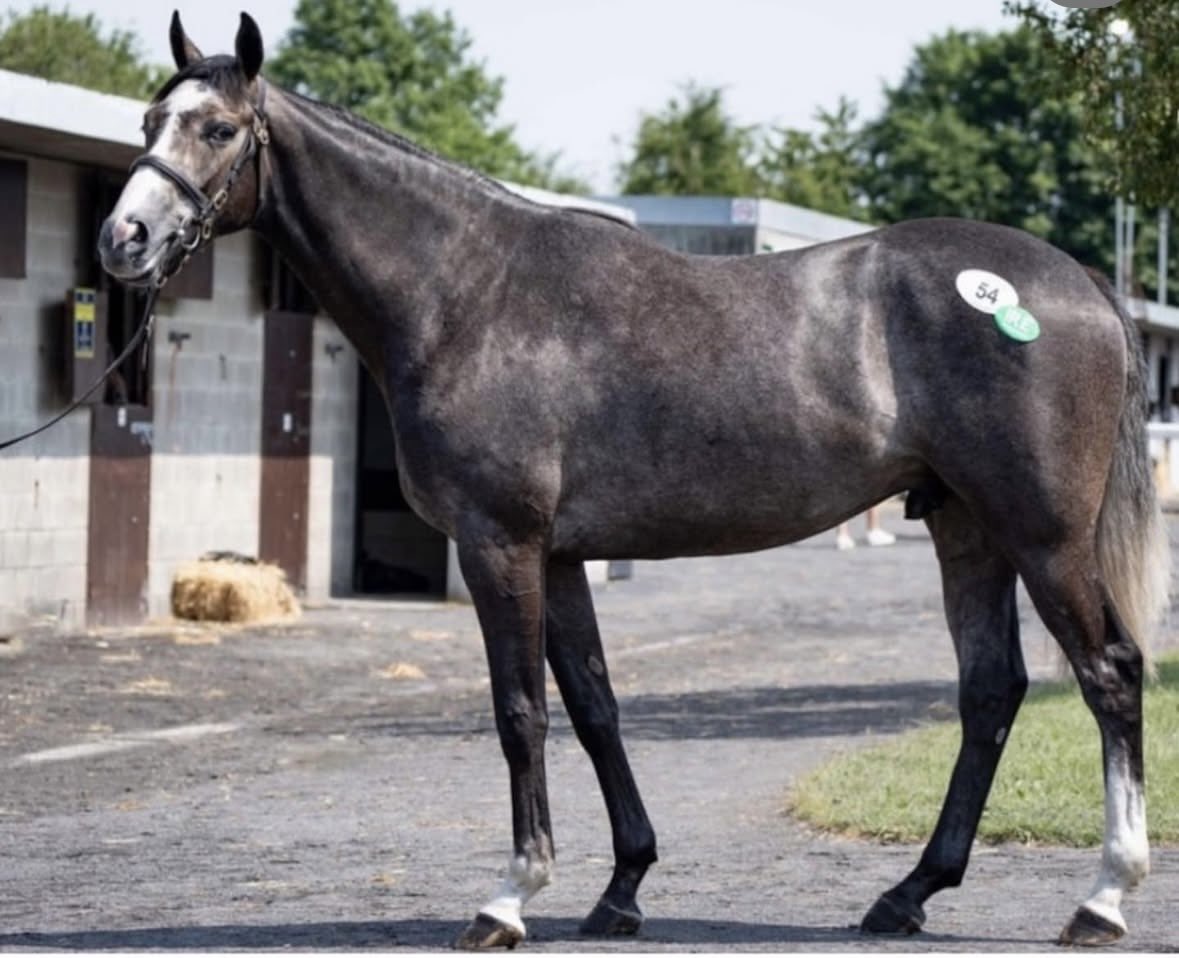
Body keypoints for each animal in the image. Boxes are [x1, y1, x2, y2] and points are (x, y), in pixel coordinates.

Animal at [97, 12, 1170, 949]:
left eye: (218, 128)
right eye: (148, 121)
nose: (124, 242)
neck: (467, 295)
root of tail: (1079, 282)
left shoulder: (499, 545)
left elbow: (520, 711)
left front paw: (508, 898)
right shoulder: (558, 556)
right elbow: (594, 707)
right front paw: (620, 890)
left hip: (1040, 535)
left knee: (1109, 673)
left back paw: (1101, 898)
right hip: (965, 528)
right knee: (990, 692)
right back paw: (907, 894)